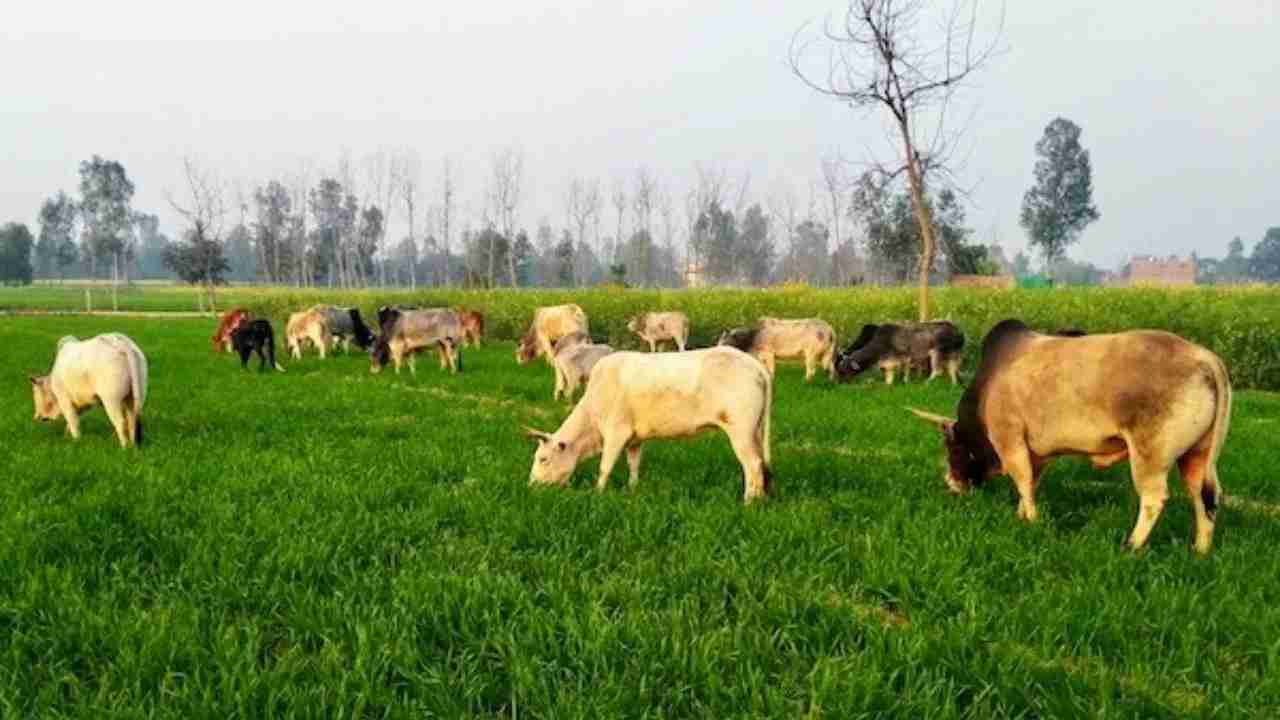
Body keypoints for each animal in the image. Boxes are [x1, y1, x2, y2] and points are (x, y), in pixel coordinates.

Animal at [524, 346, 773, 503]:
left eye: (543, 459)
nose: (531, 487)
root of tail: (755, 365)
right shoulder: (635, 439)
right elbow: (634, 465)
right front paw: (632, 489)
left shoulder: (616, 432)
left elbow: (605, 467)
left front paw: (598, 493)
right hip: (755, 431)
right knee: (761, 463)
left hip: (740, 431)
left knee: (753, 465)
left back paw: (748, 502)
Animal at [837, 321, 966, 385]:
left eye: (844, 371)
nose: (839, 384)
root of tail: (958, 332)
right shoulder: (888, 364)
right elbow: (889, 379)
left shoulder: (905, 358)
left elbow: (905, 372)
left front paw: (905, 382)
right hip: (953, 354)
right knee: (952, 370)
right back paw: (953, 385)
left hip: (937, 353)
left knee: (938, 371)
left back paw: (926, 383)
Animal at [908, 319, 1232, 554]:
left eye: (952, 448)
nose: (951, 483)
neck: (987, 388)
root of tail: (1204, 357)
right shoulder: (1036, 453)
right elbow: (1030, 483)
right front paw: (1022, 515)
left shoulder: (1009, 439)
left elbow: (1023, 481)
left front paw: (1032, 521)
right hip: (1197, 454)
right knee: (1205, 496)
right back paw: (1200, 550)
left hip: (1149, 455)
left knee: (1155, 498)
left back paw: (1132, 545)